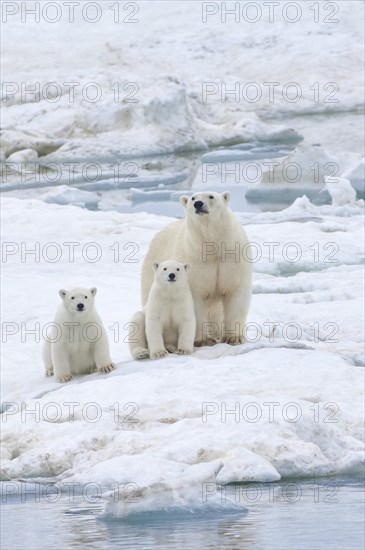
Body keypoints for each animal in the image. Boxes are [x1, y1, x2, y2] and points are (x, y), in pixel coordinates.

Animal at [141, 192, 252, 348]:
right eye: (193, 198)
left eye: (211, 196)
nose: (198, 204)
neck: (213, 245)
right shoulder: (195, 261)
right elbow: (195, 299)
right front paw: (204, 340)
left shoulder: (232, 258)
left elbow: (235, 291)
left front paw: (234, 338)